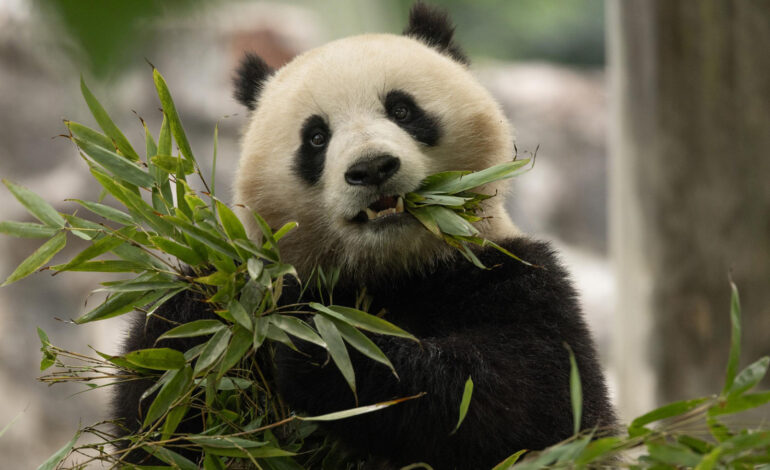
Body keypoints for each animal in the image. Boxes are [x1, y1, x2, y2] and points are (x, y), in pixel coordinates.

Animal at [115, 3, 612, 470]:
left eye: (402, 110)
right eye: (316, 137)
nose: (372, 168)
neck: (390, 270)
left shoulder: (516, 276)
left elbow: (528, 402)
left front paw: (321, 348)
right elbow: (160, 420)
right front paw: (201, 314)